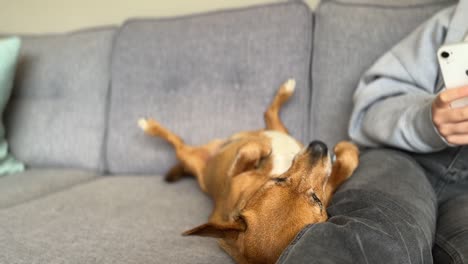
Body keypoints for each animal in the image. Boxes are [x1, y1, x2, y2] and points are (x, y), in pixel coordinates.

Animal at [138, 80, 358, 264]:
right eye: (280, 180)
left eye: (318, 200)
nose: (319, 146)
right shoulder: (233, 181)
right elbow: (248, 152)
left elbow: (347, 163)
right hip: (191, 157)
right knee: (178, 143)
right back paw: (150, 126)